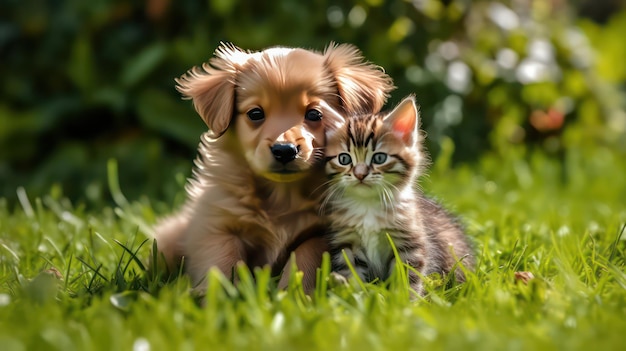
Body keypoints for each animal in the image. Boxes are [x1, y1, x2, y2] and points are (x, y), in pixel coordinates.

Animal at [154, 42, 392, 292]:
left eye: (314, 113)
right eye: (255, 113)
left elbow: (305, 257)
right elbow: (222, 263)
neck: (282, 196)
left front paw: (293, 293)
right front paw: (225, 296)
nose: (284, 150)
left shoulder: (322, 233)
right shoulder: (216, 227)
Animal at [322, 95, 472, 296]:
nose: (360, 174)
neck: (367, 205)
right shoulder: (346, 242)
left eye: (379, 158)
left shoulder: (409, 243)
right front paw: (353, 297)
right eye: (344, 159)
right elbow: (351, 276)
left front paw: (405, 300)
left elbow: (409, 278)